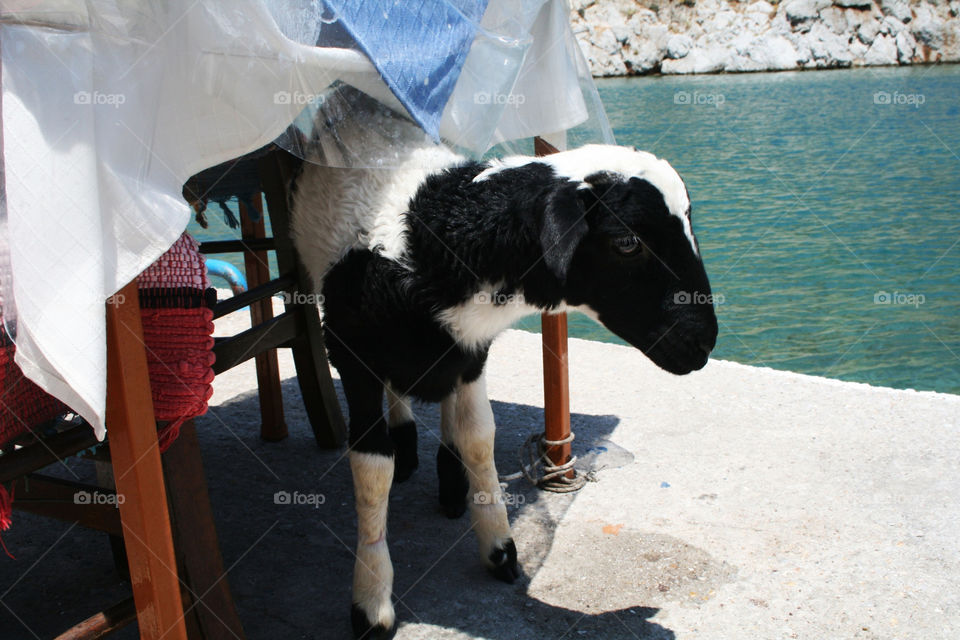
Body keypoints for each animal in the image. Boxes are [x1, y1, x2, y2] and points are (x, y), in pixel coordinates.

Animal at [291, 119, 718, 640]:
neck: (429, 237)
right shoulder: (352, 357)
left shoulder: (473, 354)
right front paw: (372, 604)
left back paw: (450, 482)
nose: (705, 344)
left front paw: (498, 549)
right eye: (627, 242)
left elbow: (479, 438)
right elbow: (372, 471)